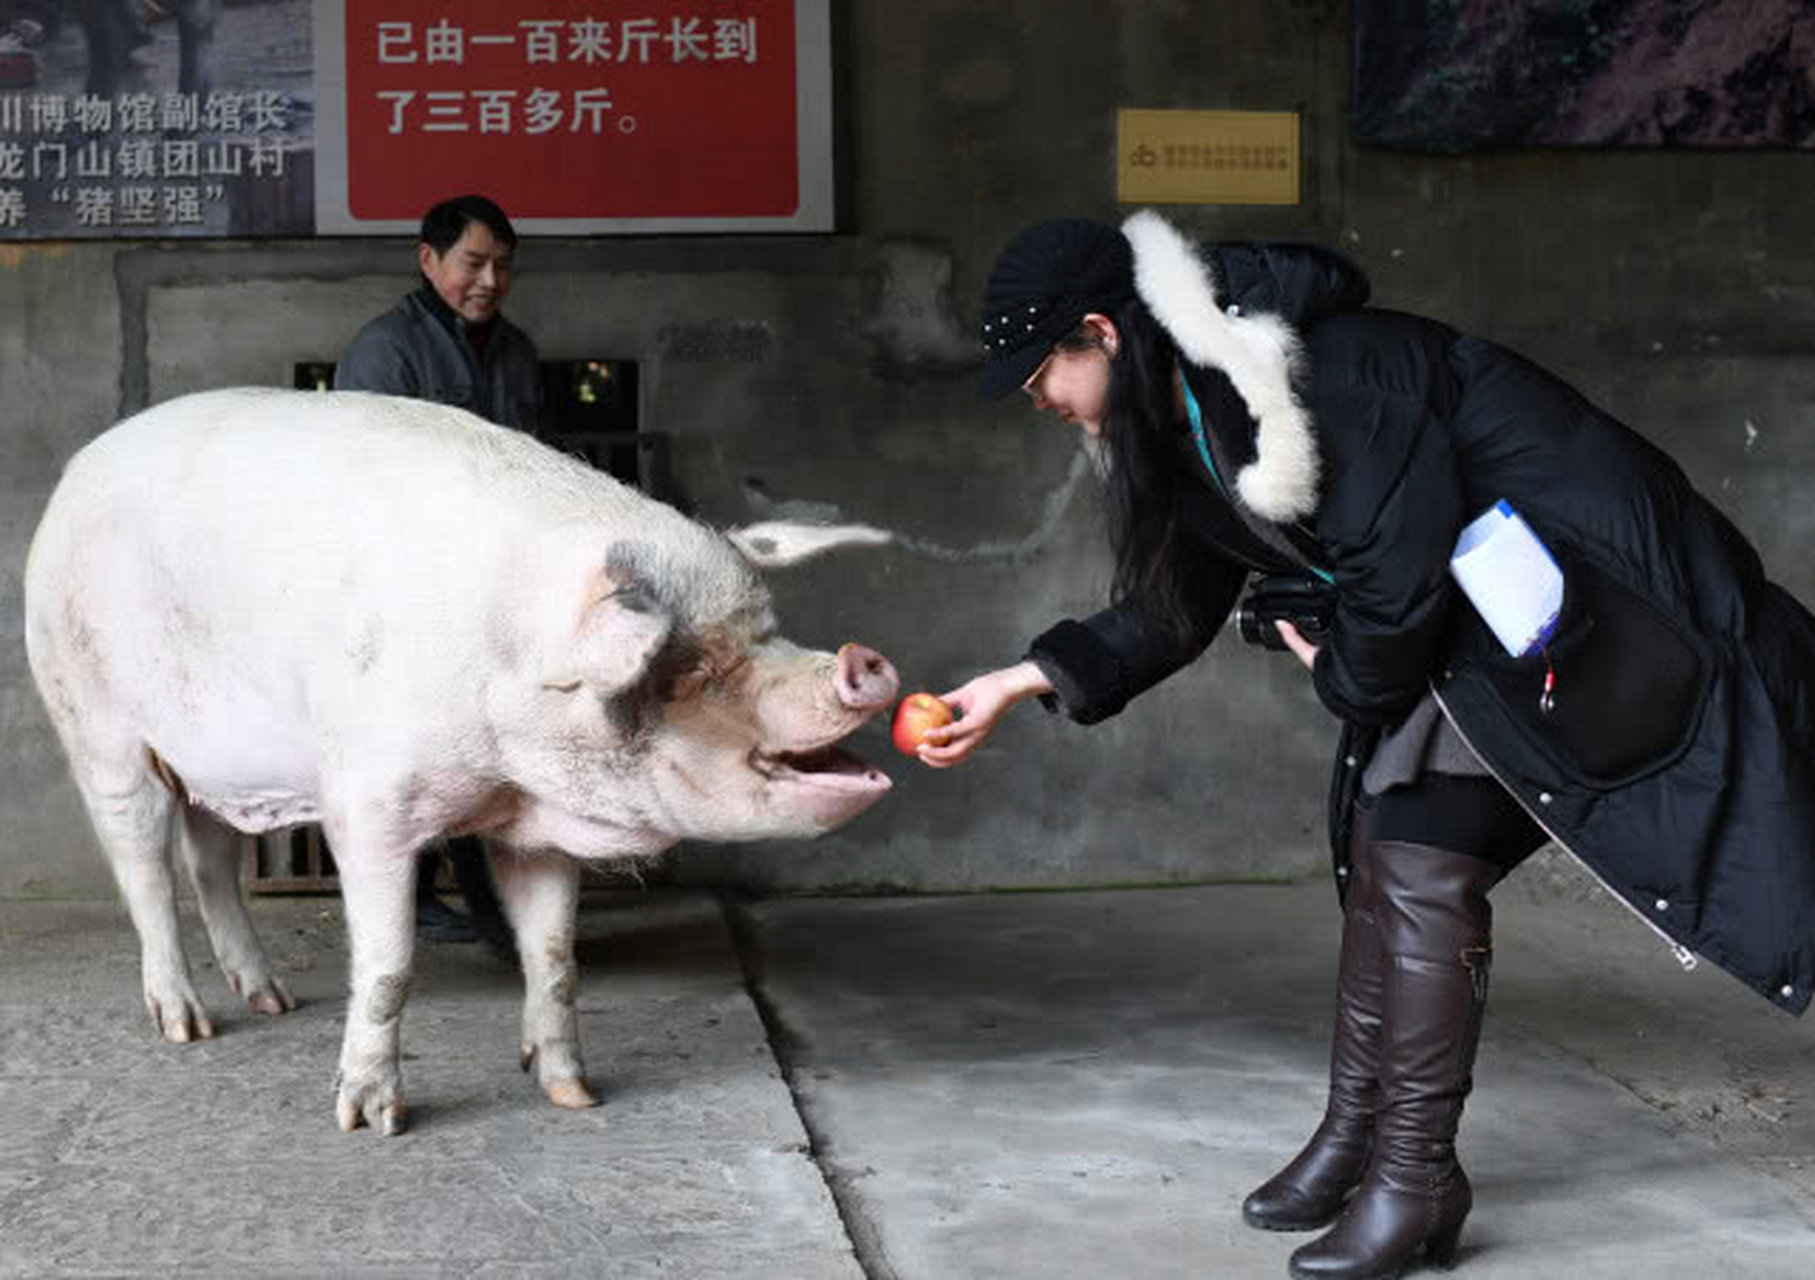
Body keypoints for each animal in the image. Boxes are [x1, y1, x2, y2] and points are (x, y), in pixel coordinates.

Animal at [21, 386, 900, 1125]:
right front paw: (369, 1120)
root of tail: (70, 479)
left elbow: (554, 957)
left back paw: (273, 1001)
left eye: (766, 629)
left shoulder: (537, 826)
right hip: (95, 721)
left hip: (213, 759)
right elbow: (387, 967)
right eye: (690, 668)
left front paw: (573, 1095)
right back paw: (188, 1027)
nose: (862, 661)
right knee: (144, 871)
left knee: (209, 858)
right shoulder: (367, 804)